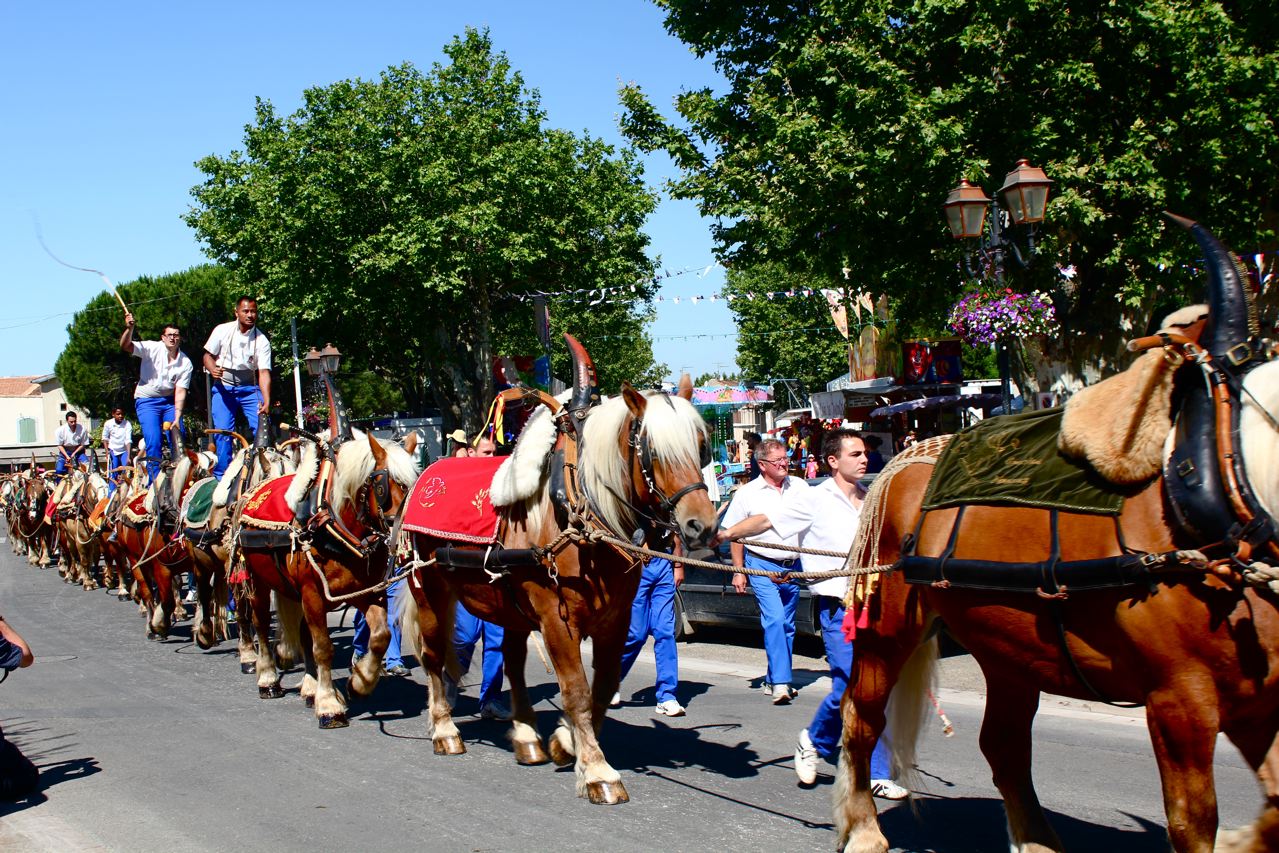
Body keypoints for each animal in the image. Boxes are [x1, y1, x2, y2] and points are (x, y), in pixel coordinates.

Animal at [235, 429, 419, 726]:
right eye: (382, 485)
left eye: (413, 483)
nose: (403, 530)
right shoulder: (312, 593)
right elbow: (323, 647)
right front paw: (329, 704)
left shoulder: (367, 592)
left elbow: (380, 636)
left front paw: (359, 683)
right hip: (259, 582)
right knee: (260, 625)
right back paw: (268, 679)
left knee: (302, 634)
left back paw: (310, 687)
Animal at [399, 337, 721, 803]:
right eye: (653, 451)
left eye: (701, 446)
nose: (703, 526)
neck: (578, 511)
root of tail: (426, 476)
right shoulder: (557, 619)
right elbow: (576, 689)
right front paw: (598, 771)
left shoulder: (615, 618)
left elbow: (603, 686)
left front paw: (565, 742)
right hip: (429, 591)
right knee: (433, 654)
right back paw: (445, 730)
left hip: (509, 607)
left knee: (513, 662)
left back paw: (526, 737)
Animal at [833, 214, 1279, 853]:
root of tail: (902, 462)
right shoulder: (1181, 700)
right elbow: (1193, 820)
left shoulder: (1258, 699)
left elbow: (1273, 805)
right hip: (888, 628)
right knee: (861, 717)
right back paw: (865, 830)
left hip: (1008, 649)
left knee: (1002, 744)